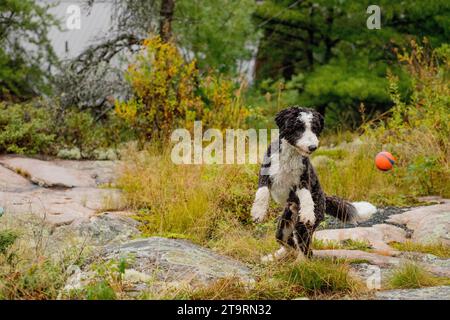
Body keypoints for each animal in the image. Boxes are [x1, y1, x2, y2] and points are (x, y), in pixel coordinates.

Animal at [251, 106, 374, 262]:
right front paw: (258, 212)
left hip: (303, 227)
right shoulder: (265, 174)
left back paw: (299, 265)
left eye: (315, 128)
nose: (312, 147)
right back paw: (272, 257)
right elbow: (262, 192)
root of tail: (324, 198)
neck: (291, 154)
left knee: (306, 251)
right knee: (288, 243)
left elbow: (306, 196)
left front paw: (308, 213)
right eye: (299, 127)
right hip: (284, 226)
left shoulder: (304, 178)